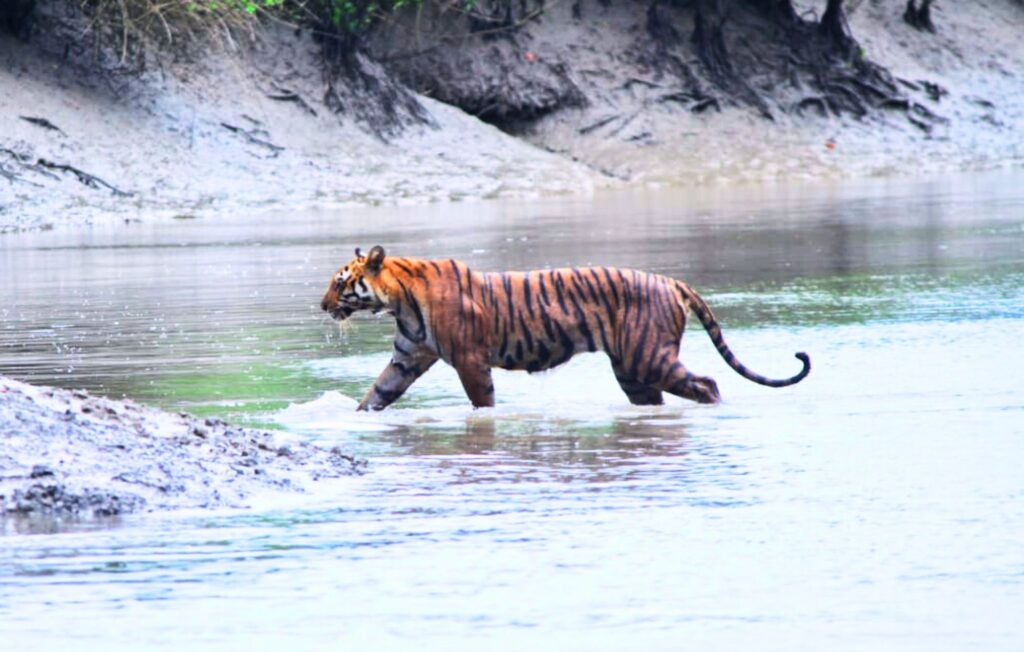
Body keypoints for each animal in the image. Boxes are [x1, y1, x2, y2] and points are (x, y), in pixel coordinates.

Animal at [320, 246, 810, 411]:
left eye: (340, 282)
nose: (322, 305)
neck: (399, 302)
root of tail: (670, 280)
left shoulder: (471, 362)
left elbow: (483, 405)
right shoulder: (407, 358)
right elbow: (374, 397)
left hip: (648, 358)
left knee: (706, 383)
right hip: (633, 371)